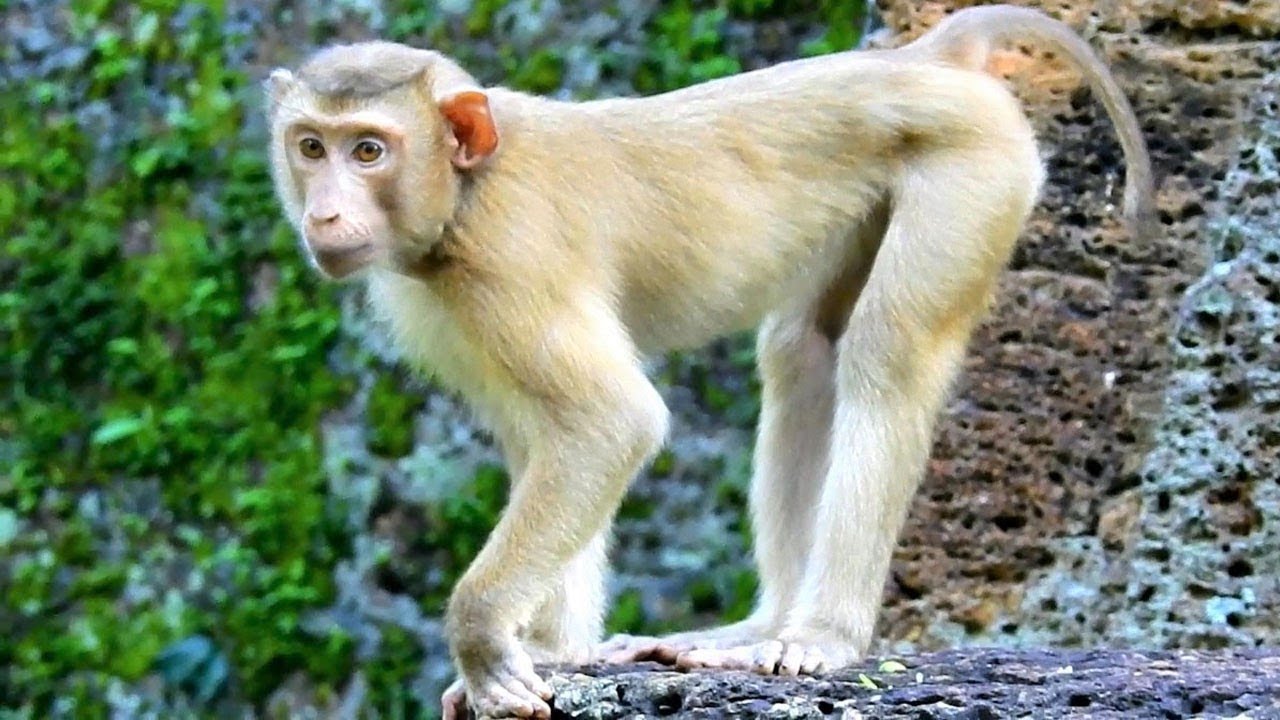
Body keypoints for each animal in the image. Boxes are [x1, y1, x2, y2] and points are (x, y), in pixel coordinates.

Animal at [265, 4, 1155, 718]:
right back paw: (762, 625)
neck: (467, 190)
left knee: (889, 349)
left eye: (369, 151)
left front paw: (483, 644)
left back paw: (822, 636)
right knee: (802, 351)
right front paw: (551, 650)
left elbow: (609, 425)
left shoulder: (507, 269)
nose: (325, 213)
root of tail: (925, 58)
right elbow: (546, 438)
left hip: (970, 168)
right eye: (311, 147)